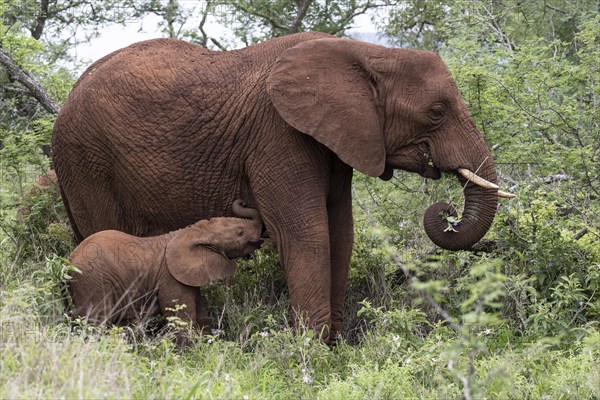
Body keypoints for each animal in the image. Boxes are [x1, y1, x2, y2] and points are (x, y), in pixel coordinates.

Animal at [68, 199, 262, 334]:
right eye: (240, 232)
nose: (243, 201)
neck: (192, 231)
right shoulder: (170, 278)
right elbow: (181, 317)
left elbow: (200, 312)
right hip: (92, 283)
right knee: (96, 323)